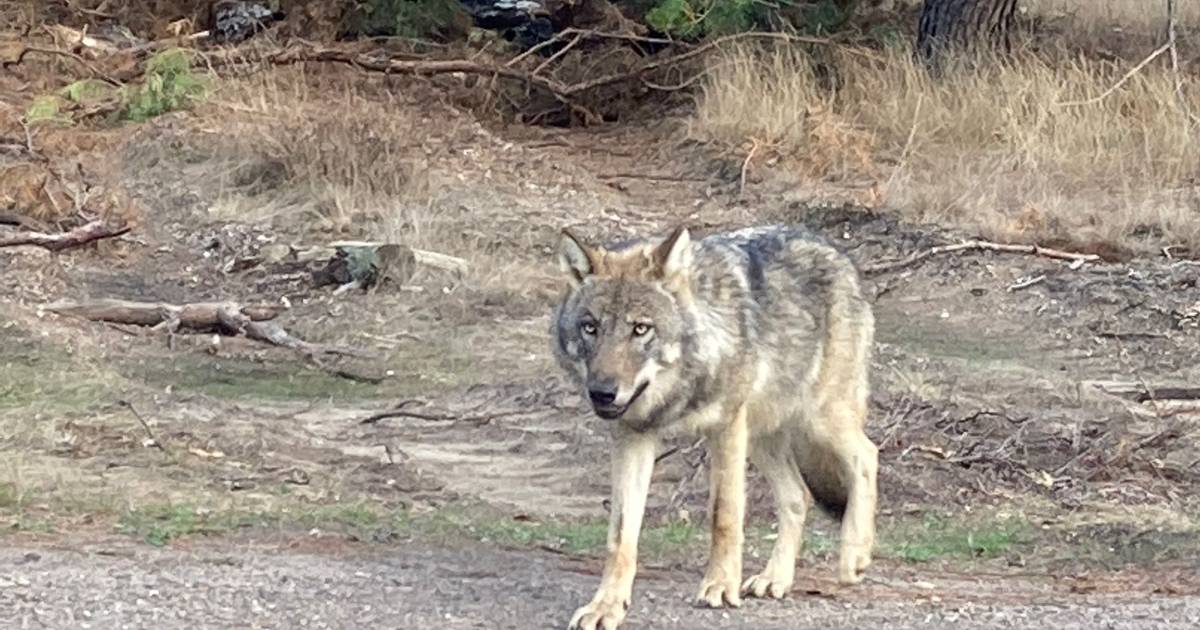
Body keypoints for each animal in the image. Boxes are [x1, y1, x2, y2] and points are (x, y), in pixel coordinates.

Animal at [552, 224, 878, 630]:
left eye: (641, 329)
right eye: (590, 328)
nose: (602, 393)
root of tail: (837, 251)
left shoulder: (725, 426)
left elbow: (724, 514)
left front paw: (721, 586)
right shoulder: (633, 437)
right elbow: (620, 535)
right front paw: (606, 606)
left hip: (818, 419)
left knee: (867, 456)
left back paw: (854, 556)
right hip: (762, 436)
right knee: (797, 495)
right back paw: (775, 578)